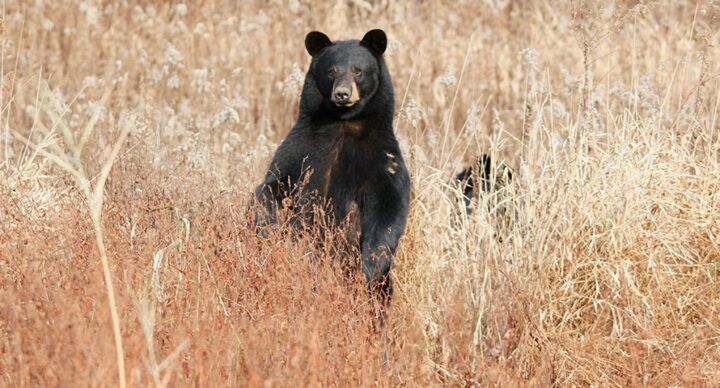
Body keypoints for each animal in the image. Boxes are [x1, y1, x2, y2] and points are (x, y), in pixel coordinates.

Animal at [255, 29, 410, 300]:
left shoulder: (382, 159)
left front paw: (370, 265)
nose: (342, 94)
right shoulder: (302, 148)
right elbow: (275, 183)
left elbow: (390, 206)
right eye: (332, 71)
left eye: (358, 70)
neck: (343, 124)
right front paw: (269, 229)